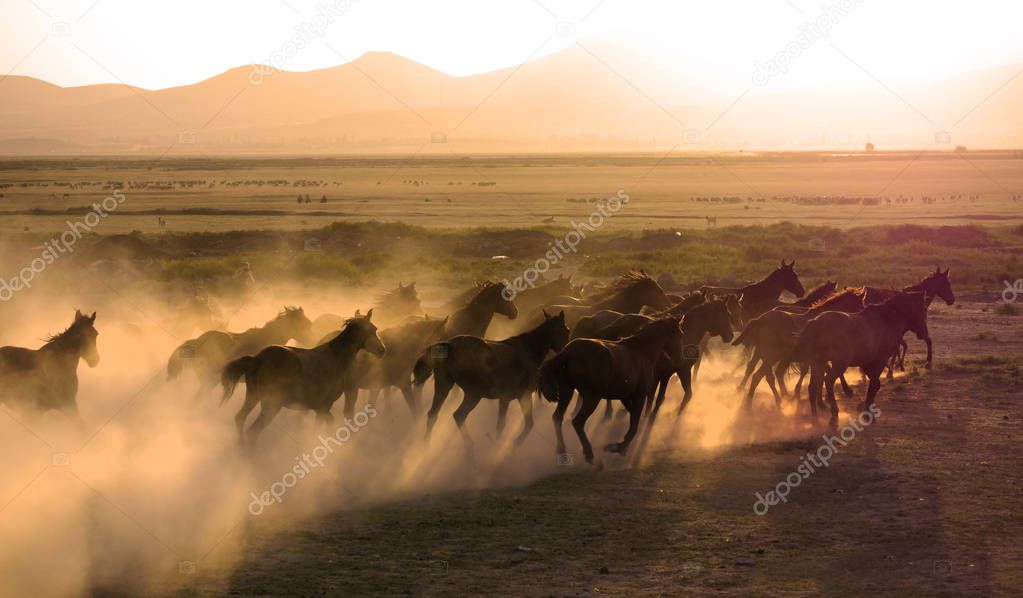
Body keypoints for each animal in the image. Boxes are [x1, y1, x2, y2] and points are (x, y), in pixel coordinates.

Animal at [221, 312, 384, 447]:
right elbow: (325, 426)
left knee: (240, 418)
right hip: (271, 405)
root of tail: (257, 359)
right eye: (372, 330)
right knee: (253, 432)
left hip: (253, 397)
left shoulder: (319, 408)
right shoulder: (323, 406)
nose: (382, 350)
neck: (334, 359)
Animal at [413, 312, 572, 447]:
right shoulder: (514, 397)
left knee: (433, 414)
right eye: (567, 330)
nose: (564, 350)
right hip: (473, 394)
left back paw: (426, 445)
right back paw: (469, 447)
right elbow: (506, 425)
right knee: (459, 415)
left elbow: (524, 424)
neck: (528, 352)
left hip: (444, 386)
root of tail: (450, 345)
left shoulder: (514, 398)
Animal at [540, 316, 683, 462]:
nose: (678, 362)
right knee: (577, 422)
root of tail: (567, 353)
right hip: (592, 397)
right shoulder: (639, 396)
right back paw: (588, 452)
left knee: (557, 417)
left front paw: (620, 444)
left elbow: (633, 417)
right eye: (681, 335)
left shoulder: (625, 397)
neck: (641, 352)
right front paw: (620, 447)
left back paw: (562, 450)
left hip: (567, 392)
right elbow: (634, 424)